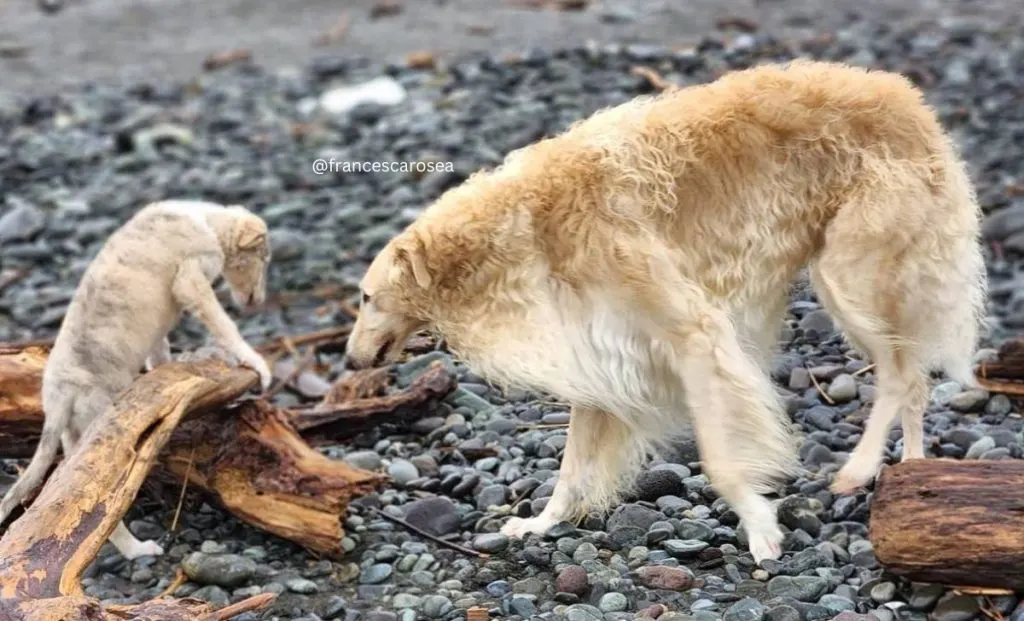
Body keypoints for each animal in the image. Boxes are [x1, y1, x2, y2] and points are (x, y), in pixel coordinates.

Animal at [0, 201, 274, 561]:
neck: (205, 221)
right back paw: (139, 550)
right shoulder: (189, 278)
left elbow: (160, 352)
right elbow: (224, 324)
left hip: (76, 439)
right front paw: (255, 361)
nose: (258, 302)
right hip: (108, 435)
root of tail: (59, 396)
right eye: (263, 259)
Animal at [344, 59, 983, 565]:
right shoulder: (598, 356)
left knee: (899, 377)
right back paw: (916, 479)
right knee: (915, 379)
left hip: (846, 278)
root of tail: (906, 94)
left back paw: (857, 471)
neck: (524, 224)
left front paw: (760, 529)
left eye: (366, 297)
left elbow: (720, 460)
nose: (349, 362)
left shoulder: (695, 338)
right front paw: (540, 524)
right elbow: (570, 469)